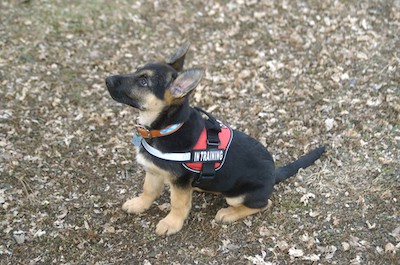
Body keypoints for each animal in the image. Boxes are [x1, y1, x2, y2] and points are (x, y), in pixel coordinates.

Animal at [104, 43, 324, 235]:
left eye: (143, 82)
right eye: (136, 72)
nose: (107, 79)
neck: (166, 127)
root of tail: (274, 173)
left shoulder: (179, 181)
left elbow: (178, 203)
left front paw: (171, 223)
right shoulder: (153, 171)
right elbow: (148, 190)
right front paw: (138, 204)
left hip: (238, 196)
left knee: (264, 203)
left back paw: (228, 213)